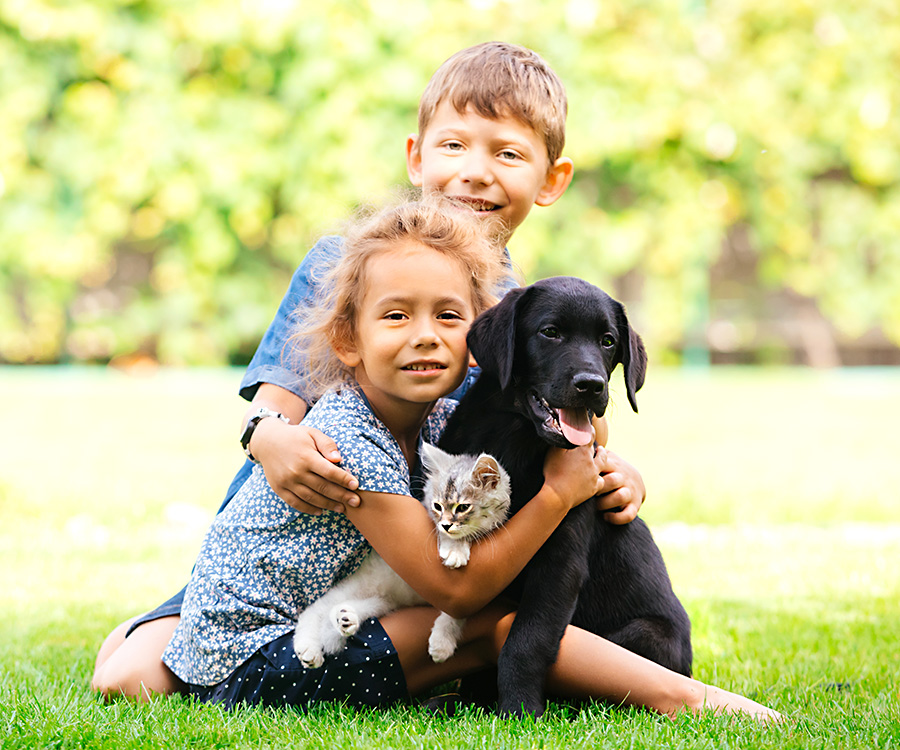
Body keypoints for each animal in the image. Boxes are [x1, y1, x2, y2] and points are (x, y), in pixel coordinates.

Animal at [294, 444, 510, 668]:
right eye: (438, 507)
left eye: (463, 507)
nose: (446, 524)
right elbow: (447, 537)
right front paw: (455, 549)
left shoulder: (472, 597)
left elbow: (456, 614)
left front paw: (442, 642)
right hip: (357, 586)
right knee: (314, 610)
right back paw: (309, 649)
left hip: (382, 602)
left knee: (347, 608)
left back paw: (345, 619)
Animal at [440, 276, 692, 716]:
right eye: (550, 332)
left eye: (608, 341)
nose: (592, 385)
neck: (515, 441)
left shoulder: (559, 563)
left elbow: (525, 642)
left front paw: (518, 711)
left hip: (645, 635)